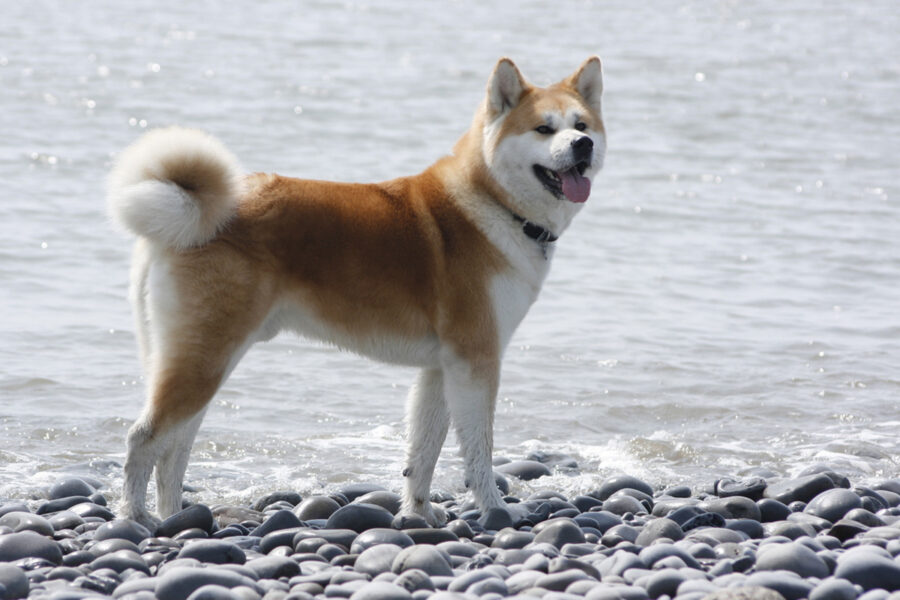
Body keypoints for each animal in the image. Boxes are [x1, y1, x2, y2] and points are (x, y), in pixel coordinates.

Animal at [109, 55, 608, 524]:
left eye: (582, 126)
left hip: (200, 362)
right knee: (143, 440)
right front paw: (494, 509)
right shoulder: (475, 362)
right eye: (544, 129)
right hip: (205, 360)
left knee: (174, 450)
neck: (494, 205)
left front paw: (418, 513)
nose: (581, 144)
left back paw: (175, 517)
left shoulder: (440, 369)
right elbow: (479, 451)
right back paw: (136, 518)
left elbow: (423, 453)